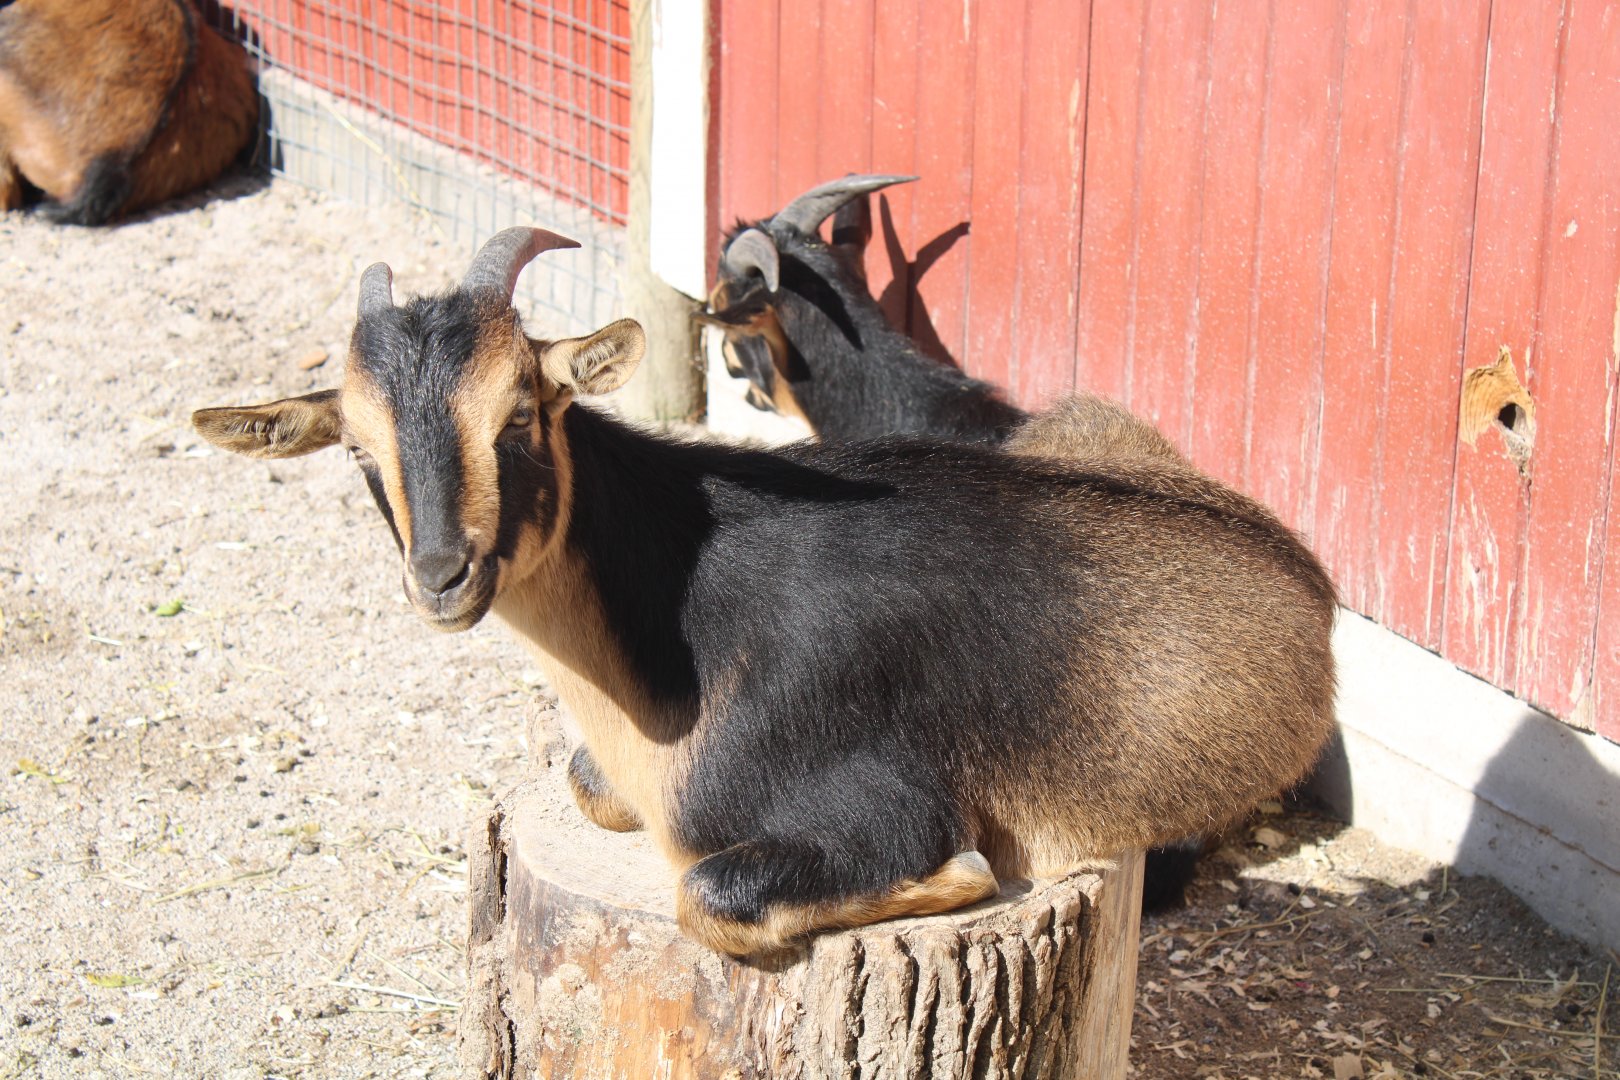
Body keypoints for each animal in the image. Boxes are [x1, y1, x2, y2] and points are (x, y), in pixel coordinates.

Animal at [193, 228, 1339, 958]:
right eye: (356, 447)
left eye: (520, 410)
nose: (442, 576)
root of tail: (1314, 586)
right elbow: (587, 783)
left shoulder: (872, 797)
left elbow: (715, 886)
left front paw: (970, 875)